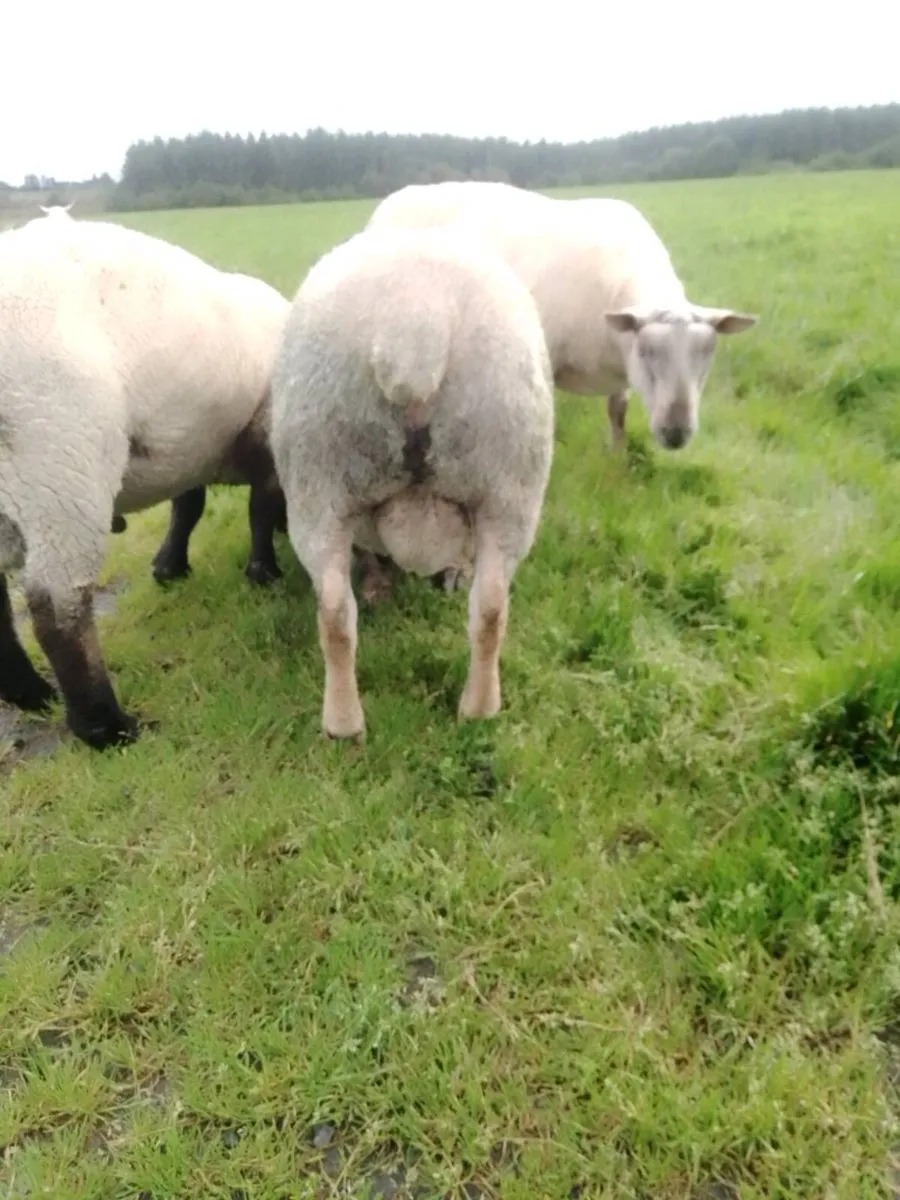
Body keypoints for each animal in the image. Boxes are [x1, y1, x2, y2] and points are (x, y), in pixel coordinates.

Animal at [0, 214, 290, 750]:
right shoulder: (268, 429)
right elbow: (259, 507)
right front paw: (263, 570)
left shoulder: (188, 447)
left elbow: (189, 505)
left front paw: (170, 566)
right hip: (62, 460)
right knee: (57, 605)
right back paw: (106, 726)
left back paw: (31, 694)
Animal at [270, 226, 555, 740]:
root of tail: (416, 319)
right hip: (510, 485)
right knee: (491, 608)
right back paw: (477, 710)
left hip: (318, 479)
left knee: (336, 613)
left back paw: (344, 726)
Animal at [367, 180, 758, 452]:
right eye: (647, 352)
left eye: (707, 355)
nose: (676, 434)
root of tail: (389, 203)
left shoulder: (621, 366)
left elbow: (617, 412)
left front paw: (617, 455)